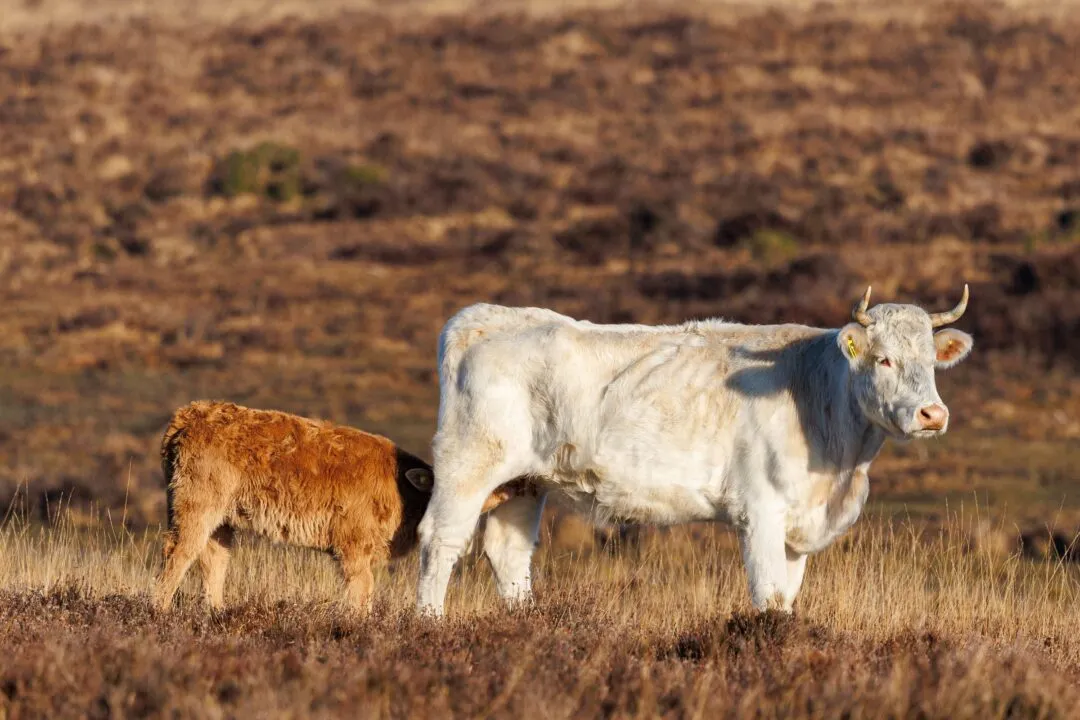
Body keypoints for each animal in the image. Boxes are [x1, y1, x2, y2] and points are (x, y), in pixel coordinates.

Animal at [153, 401, 531, 612]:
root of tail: (192, 413)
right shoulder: (353, 546)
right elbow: (362, 593)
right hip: (196, 504)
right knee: (179, 551)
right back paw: (159, 611)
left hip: (221, 517)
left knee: (213, 556)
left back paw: (217, 613)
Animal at [415, 286, 973, 615]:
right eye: (883, 359)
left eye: (931, 360)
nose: (932, 414)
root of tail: (486, 317)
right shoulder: (760, 512)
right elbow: (769, 595)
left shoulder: (797, 528)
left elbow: (787, 597)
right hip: (469, 463)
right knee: (441, 541)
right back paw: (430, 623)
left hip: (526, 482)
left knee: (507, 552)